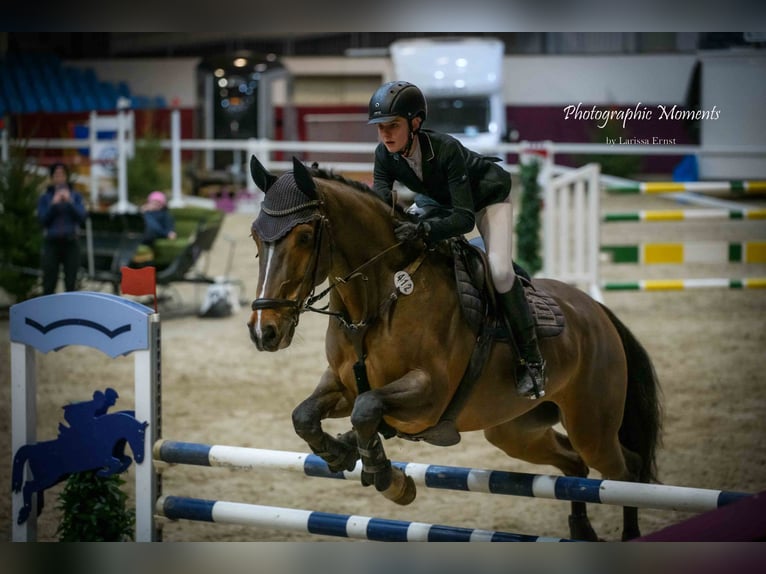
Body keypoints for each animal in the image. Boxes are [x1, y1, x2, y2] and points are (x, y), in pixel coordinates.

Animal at [11, 410, 147, 528]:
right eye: (139, 435)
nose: (140, 458)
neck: (104, 433)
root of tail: (32, 449)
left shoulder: (117, 455)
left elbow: (126, 460)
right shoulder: (104, 458)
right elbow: (116, 463)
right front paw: (102, 473)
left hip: (54, 478)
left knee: (37, 489)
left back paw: (38, 508)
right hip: (49, 477)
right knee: (28, 487)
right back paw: (23, 515)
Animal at [249, 155, 664, 544]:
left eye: (304, 236)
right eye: (255, 236)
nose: (264, 331)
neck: (376, 301)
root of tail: (596, 311)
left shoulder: (429, 394)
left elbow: (367, 410)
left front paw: (391, 480)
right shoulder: (342, 383)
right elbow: (305, 415)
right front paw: (340, 452)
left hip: (592, 425)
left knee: (626, 470)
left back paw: (630, 533)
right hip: (515, 431)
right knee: (574, 465)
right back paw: (581, 530)